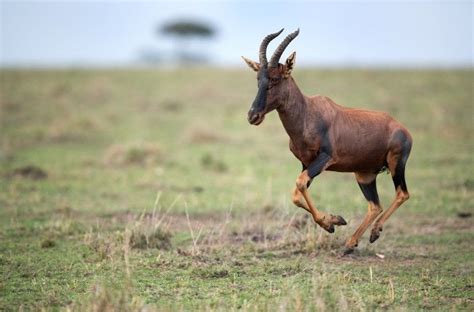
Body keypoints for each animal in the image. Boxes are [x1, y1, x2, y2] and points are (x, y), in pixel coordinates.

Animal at [243, 28, 412, 254]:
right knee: (375, 205)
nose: (253, 116)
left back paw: (374, 232)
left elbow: (299, 184)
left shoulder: (325, 158)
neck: (308, 112)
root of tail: (403, 129)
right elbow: (297, 193)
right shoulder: (306, 163)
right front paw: (334, 221)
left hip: (395, 164)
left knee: (402, 193)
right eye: (258, 78)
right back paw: (352, 242)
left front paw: (330, 223)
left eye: (276, 79)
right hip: (364, 175)